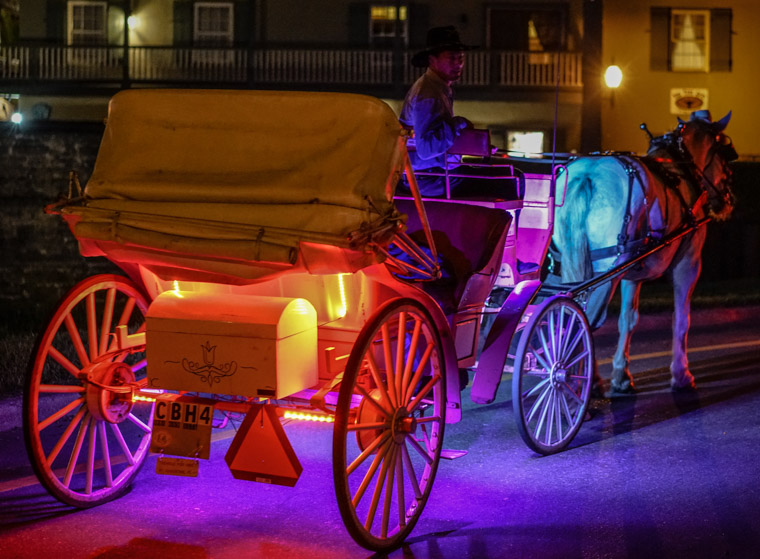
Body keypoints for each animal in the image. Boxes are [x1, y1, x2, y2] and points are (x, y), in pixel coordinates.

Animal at [552, 110, 736, 394]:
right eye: (724, 153)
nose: (729, 200)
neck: (681, 170)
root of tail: (587, 176)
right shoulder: (689, 264)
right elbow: (681, 319)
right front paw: (681, 374)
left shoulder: (631, 273)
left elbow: (628, 319)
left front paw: (621, 375)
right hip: (604, 272)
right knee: (584, 320)